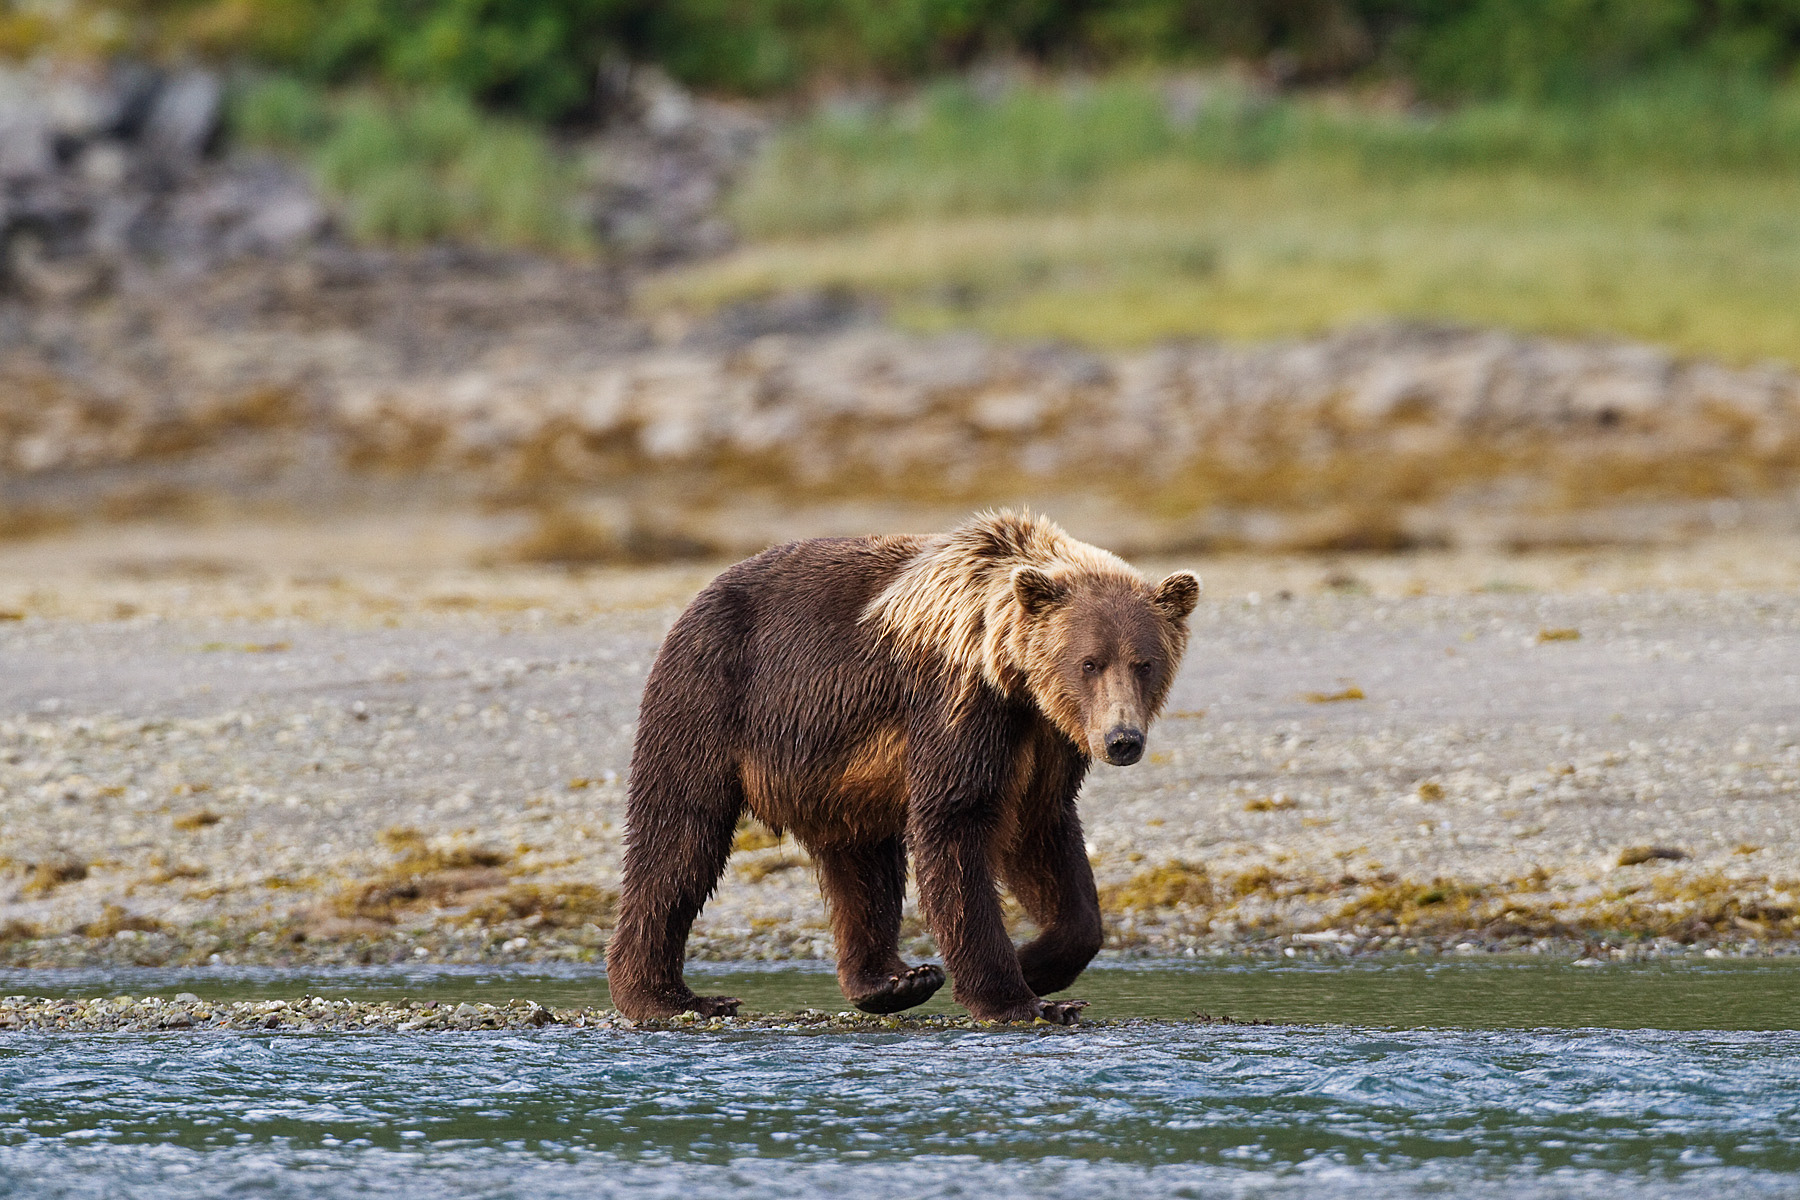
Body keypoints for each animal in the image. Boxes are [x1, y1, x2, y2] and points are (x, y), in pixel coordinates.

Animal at [604, 510, 1200, 1024]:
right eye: (1089, 662)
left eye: (1145, 663)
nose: (1122, 740)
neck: (1011, 678)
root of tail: (698, 596)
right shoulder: (958, 707)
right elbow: (956, 827)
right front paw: (1020, 998)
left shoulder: (1048, 741)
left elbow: (1043, 836)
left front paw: (1037, 963)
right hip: (711, 698)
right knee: (680, 839)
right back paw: (669, 996)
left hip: (840, 776)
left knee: (863, 865)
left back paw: (893, 981)